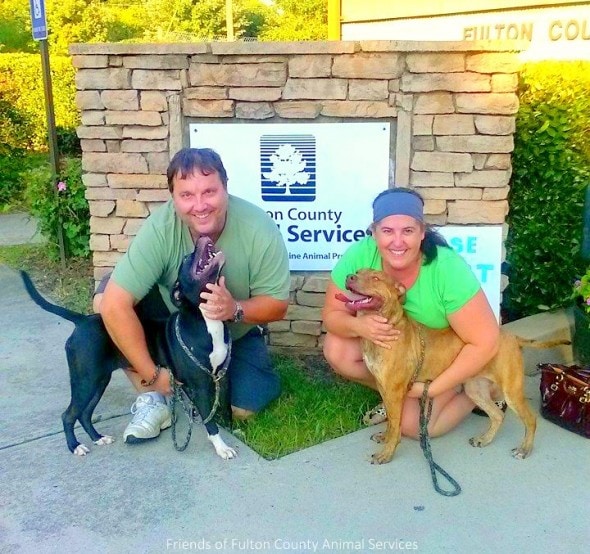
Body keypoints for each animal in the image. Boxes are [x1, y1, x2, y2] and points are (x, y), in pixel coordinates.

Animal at [20, 236, 238, 458]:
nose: (203, 238)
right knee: (69, 414)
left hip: (99, 380)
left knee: (85, 413)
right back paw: (75, 446)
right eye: (186, 258)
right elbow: (210, 421)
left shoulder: (224, 377)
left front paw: (233, 430)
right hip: (85, 380)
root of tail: (82, 320)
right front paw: (222, 447)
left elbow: (226, 408)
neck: (206, 319)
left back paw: (98, 438)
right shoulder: (200, 386)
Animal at [340, 268, 572, 462]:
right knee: (497, 416)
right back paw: (484, 439)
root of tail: (511, 336)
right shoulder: (384, 388)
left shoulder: (395, 391)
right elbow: (391, 421)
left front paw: (387, 453)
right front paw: (385, 435)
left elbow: (396, 425)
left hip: (511, 391)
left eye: (375, 278)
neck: (388, 325)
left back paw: (524, 449)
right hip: (474, 389)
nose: (348, 276)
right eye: (358, 272)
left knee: (530, 420)